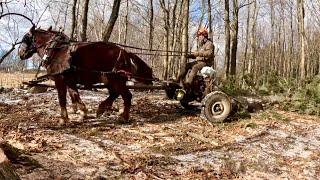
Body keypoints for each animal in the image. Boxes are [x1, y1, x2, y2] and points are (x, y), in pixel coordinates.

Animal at [18, 26, 154, 125]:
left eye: (25, 38)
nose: (20, 53)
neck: (55, 50)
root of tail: (125, 52)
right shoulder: (70, 80)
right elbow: (74, 95)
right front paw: (83, 112)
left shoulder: (60, 79)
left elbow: (62, 98)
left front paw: (64, 119)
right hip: (110, 79)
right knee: (114, 94)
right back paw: (101, 109)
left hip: (116, 79)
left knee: (126, 96)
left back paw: (123, 117)